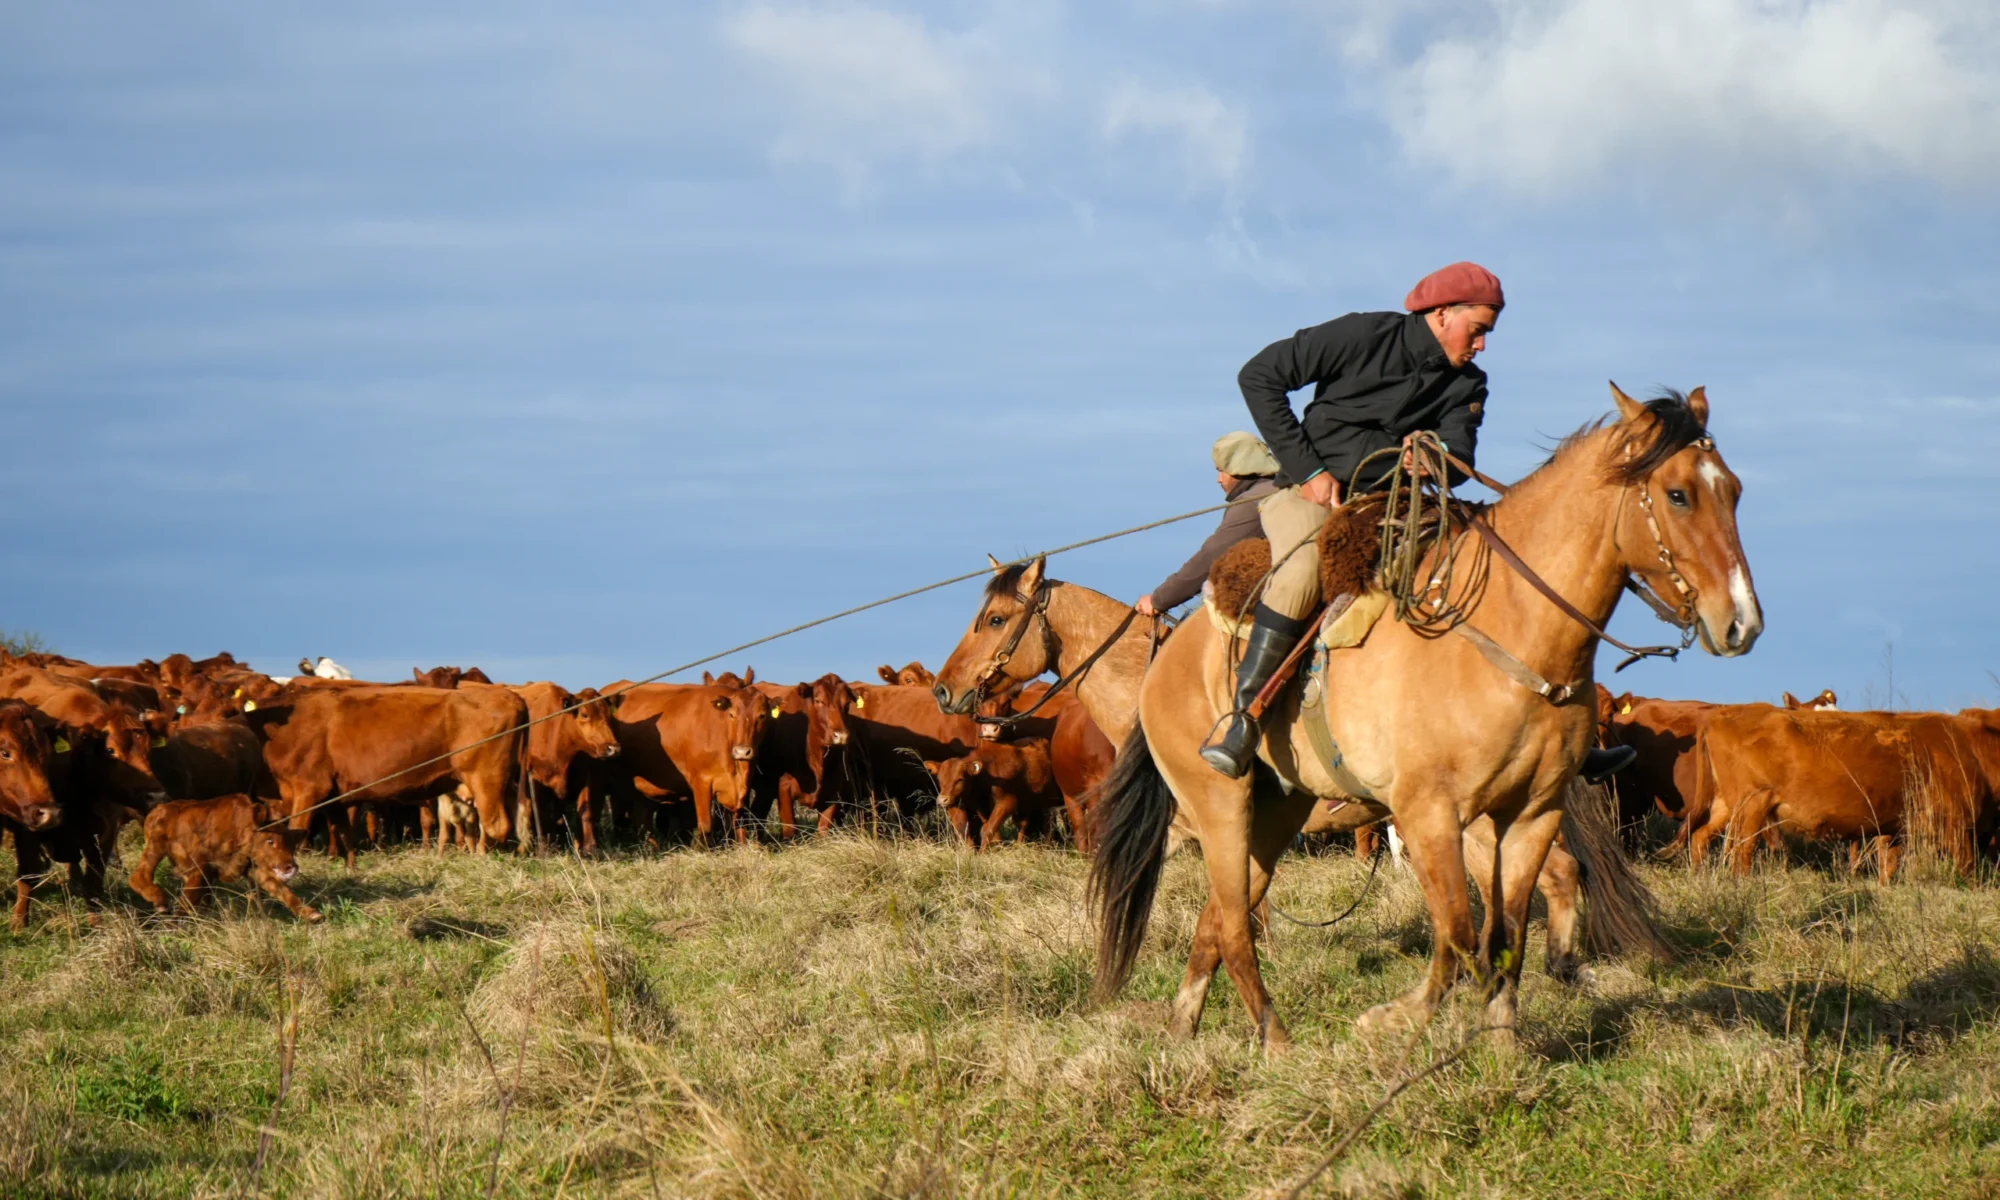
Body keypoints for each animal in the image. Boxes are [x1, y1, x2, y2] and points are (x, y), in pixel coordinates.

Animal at [128, 794, 322, 922]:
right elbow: (188, 898)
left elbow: (282, 890)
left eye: (292, 845)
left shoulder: (254, 869)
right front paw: (173, 926)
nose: (291, 867)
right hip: (156, 846)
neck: (241, 830)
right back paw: (160, 902)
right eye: (270, 841)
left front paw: (312, 914)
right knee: (139, 875)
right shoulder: (200, 868)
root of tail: (156, 810)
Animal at [247, 684, 530, 865]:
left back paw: (481, 859)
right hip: (505, 780)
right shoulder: (334, 797)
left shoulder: (309, 789)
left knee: (496, 824)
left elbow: (297, 830)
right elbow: (344, 832)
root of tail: (509, 695)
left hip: (485, 777)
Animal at [598, 682, 771, 844]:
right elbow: (706, 826)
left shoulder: (743, 789)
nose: (742, 751)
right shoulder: (701, 782)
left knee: (643, 818)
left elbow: (741, 826)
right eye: (732, 714)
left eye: (762, 716)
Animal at [925, 739, 1065, 849]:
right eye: (940, 779)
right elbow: (967, 831)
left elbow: (987, 830)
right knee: (1024, 824)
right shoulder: (963, 803)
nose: (942, 800)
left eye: (960, 779)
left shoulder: (1007, 802)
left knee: (1048, 825)